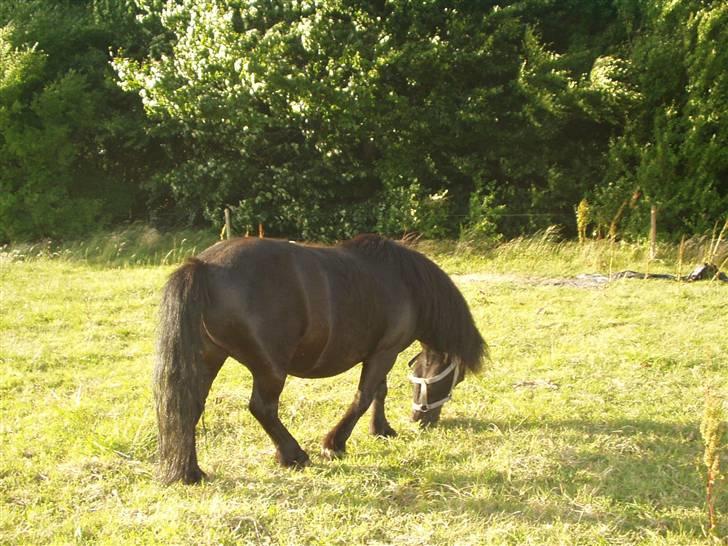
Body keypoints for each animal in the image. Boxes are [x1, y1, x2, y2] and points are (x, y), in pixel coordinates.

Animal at [154, 233, 486, 480]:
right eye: (456, 379)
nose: (422, 418)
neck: (405, 283)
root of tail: (203, 266)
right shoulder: (384, 352)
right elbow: (364, 396)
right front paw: (335, 444)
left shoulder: (380, 353)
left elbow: (379, 391)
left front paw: (381, 430)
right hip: (270, 368)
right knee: (262, 408)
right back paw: (294, 455)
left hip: (209, 358)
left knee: (189, 407)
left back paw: (191, 473)